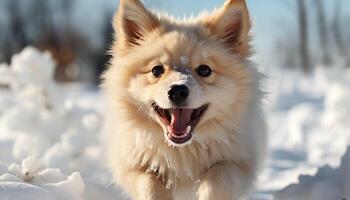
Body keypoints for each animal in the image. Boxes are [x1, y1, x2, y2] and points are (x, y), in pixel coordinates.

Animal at [102, 0, 266, 199]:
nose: (178, 91)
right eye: (157, 70)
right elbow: (150, 184)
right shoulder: (133, 164)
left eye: (204, 70)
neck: (182, 150)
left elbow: (217, 179)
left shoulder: (238, 162)